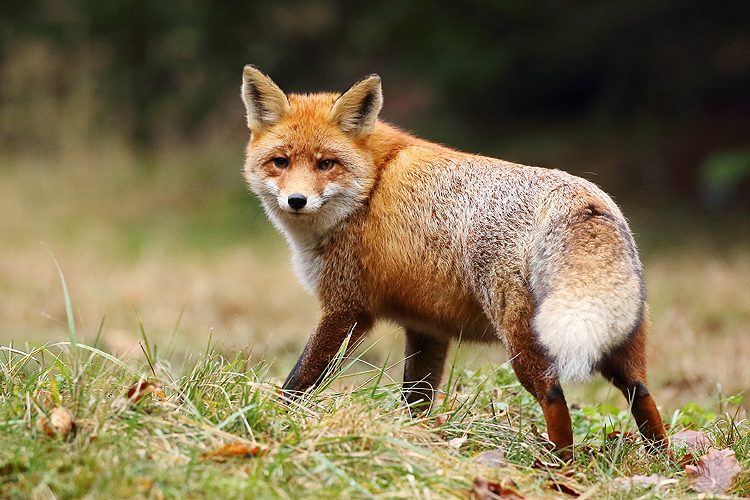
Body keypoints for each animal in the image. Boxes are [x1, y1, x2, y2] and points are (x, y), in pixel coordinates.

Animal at [241, 65, 668, 458]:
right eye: (280, 162)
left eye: (326, 164)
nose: (297, 200)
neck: (370, 187)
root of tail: (584, 197)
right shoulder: (426, 327)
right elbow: (417, 400)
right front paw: (416, 442)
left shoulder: (346, 309)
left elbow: (299, 379)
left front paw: (273, 419)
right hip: (618, 338)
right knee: (642, 393)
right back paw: (664, 461)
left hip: (525, 339)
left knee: (553, 396)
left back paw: (558, 466)